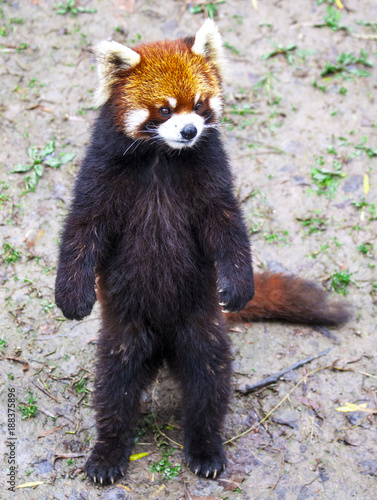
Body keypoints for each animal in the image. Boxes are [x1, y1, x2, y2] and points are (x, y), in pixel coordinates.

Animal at [54, 19, 348, 484]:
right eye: (163, 110)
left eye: (198, 104)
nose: (189, 131)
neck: (161, 156)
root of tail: (162, 346)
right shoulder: (99, 174)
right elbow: (82, 230)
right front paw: (72, 297)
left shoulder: (211, 176)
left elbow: (227, 228)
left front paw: (239, 285)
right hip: (123, 333)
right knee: (114, 389)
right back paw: (107, 453)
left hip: (202, 325)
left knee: (209, 384)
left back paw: (206, 448)